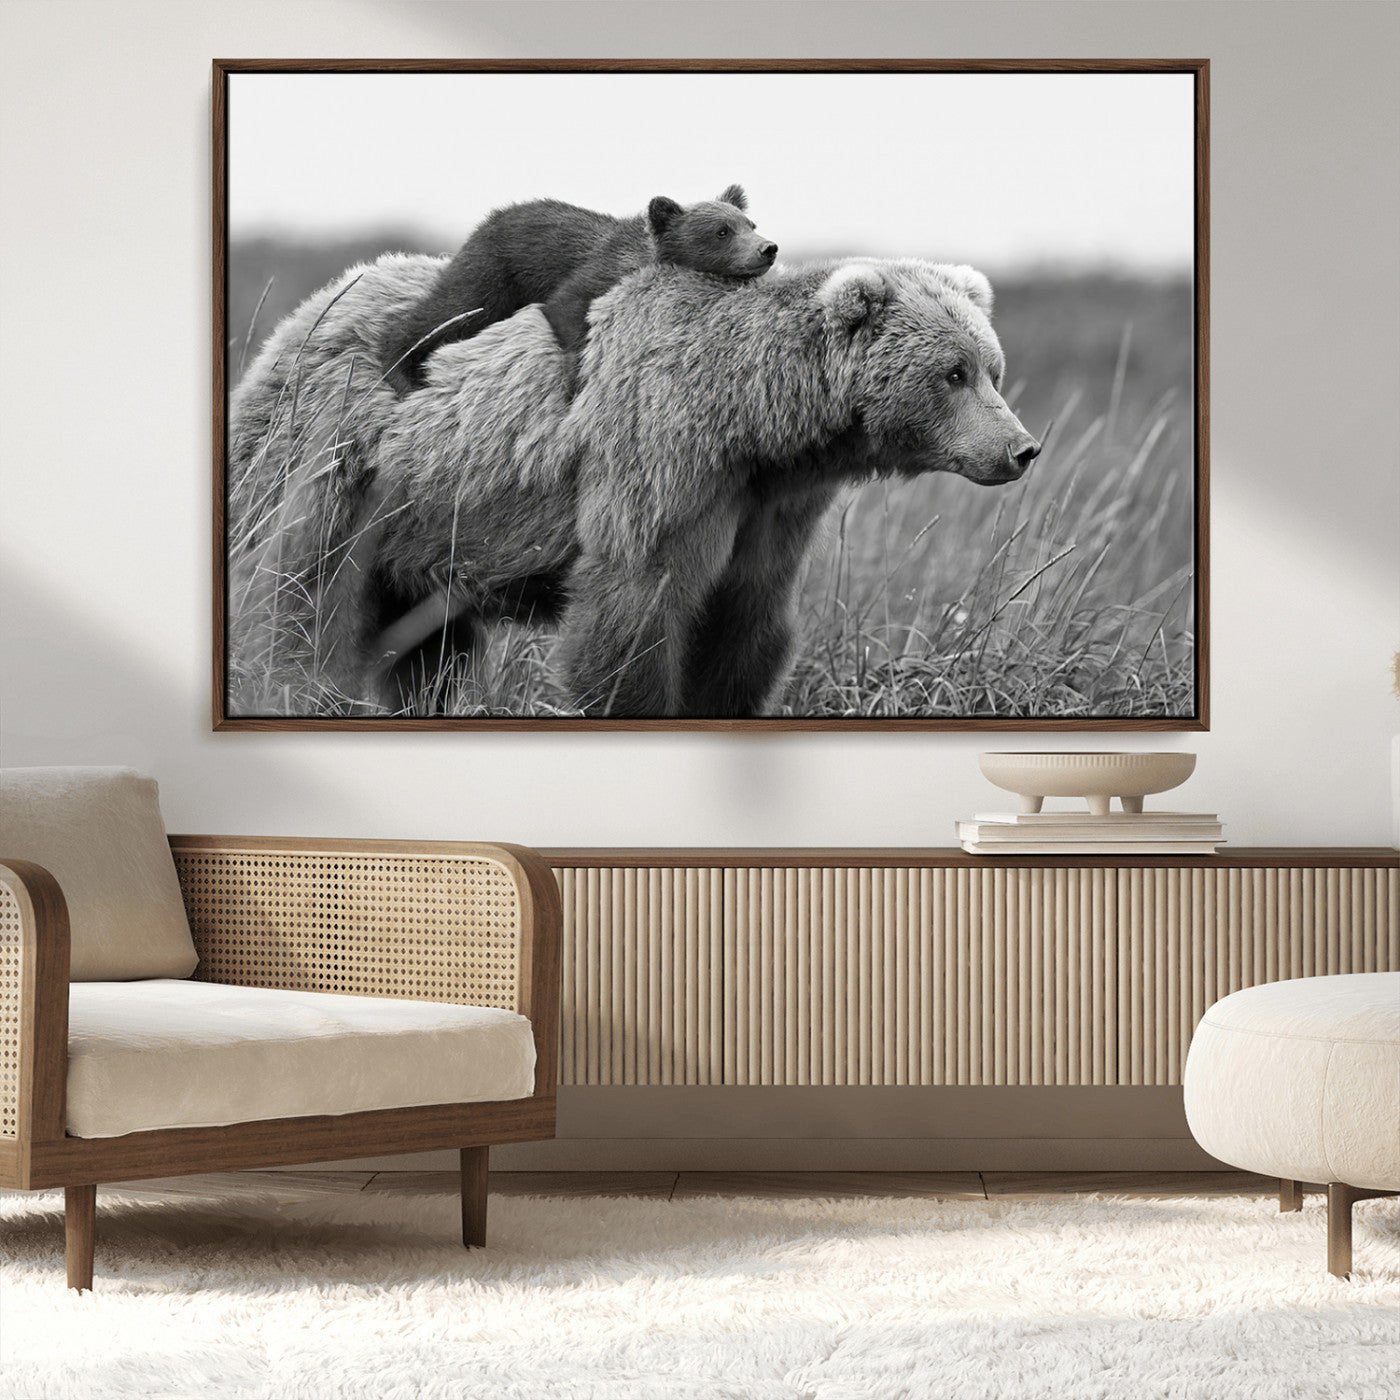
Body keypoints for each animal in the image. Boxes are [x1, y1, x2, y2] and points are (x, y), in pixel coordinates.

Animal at [226, 253, 1040, 719]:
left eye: (992, 368)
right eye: (953, 373)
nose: (1021, 448)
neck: (755, 422)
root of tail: (308, 310)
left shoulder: (770, 508)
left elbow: (745, 623)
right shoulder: (660, 459)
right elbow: (634, 610)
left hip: (427, 526)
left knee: (428, 648)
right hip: (338, 465)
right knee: (300, 598)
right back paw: (292, 687)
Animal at [377, 185, 777, 394]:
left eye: (750, 223)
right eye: (722, 231)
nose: (767, 248)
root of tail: (490, 218)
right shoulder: (597, 271)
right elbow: (566, 306)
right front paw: (576, 378)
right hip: (494, 272)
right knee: (450, 310)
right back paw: (400, 370)